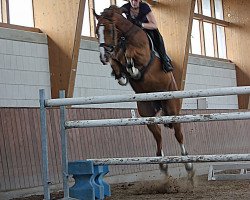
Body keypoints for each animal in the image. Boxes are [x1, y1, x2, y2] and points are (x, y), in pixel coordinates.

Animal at [94, 5, 193, 177]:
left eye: (109, 30)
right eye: (96, 31)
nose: (103, 57)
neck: (124, 37)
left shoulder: (142, 55)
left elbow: (130, 55)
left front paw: (131, 69)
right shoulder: (116, 54)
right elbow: (117, 62)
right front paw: (121, 74)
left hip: (172, 108)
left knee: (178, 133)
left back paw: (187, 163)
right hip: (147, 113)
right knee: (158, 135)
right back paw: (162, 163)